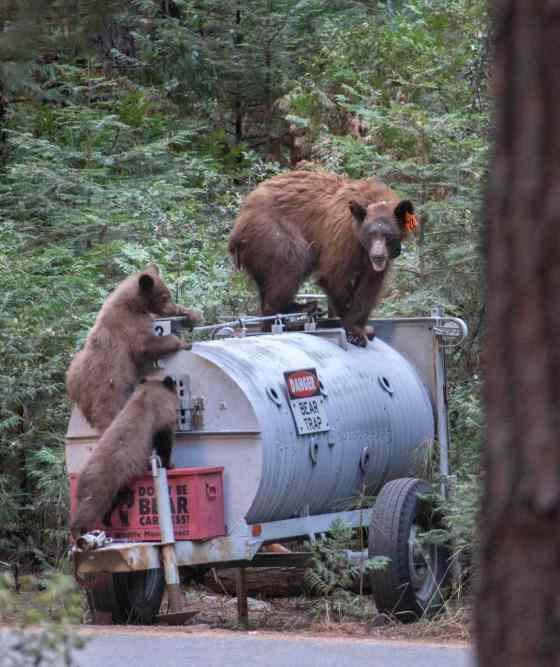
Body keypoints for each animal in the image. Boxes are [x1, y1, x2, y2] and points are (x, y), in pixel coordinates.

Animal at [66, 264, 199, 432]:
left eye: (168, 295)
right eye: (164, 297)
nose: (172, 308)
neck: (132, 304)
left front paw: (192, 314)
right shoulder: (128, 324)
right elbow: (144, 345)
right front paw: (183, 342)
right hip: (110, 386)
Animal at [71, 375, 178, 538]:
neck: (146, 397)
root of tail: (81, 475)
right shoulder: (159, 422)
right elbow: (164, 443)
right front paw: (170, 464)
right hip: (104, 481)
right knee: (91, 506)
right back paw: (81, 532)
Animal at [228, 171, 417, 346]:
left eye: (388, 235)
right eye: (370, 234)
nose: (378, 256)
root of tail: (238, 224)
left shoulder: (374, 259)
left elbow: (370, 286)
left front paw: (363, 328)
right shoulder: (342, 237)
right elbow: (333, 275)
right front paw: (353, 330)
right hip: (272, 233)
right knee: (292, 262)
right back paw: (293, 310)